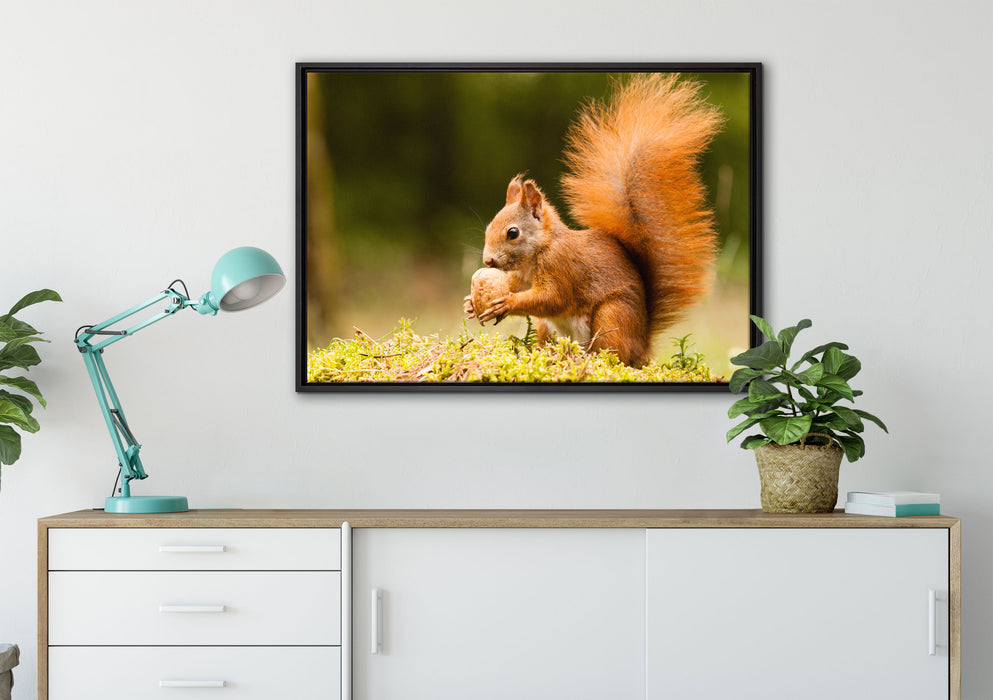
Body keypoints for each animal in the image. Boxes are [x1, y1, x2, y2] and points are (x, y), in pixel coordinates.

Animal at [464, 74, 724, 368]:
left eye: (512, 233)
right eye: (488, 227)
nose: (488, 261)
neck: (540, 250)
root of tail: (642, 346)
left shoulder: (561, 266)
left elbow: (552, 298)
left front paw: (506, 303)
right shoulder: (522, 278)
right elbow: (517, 286)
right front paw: (470, 303)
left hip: (612, 316)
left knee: (612, 353)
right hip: (548, 327)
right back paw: (547, 354)